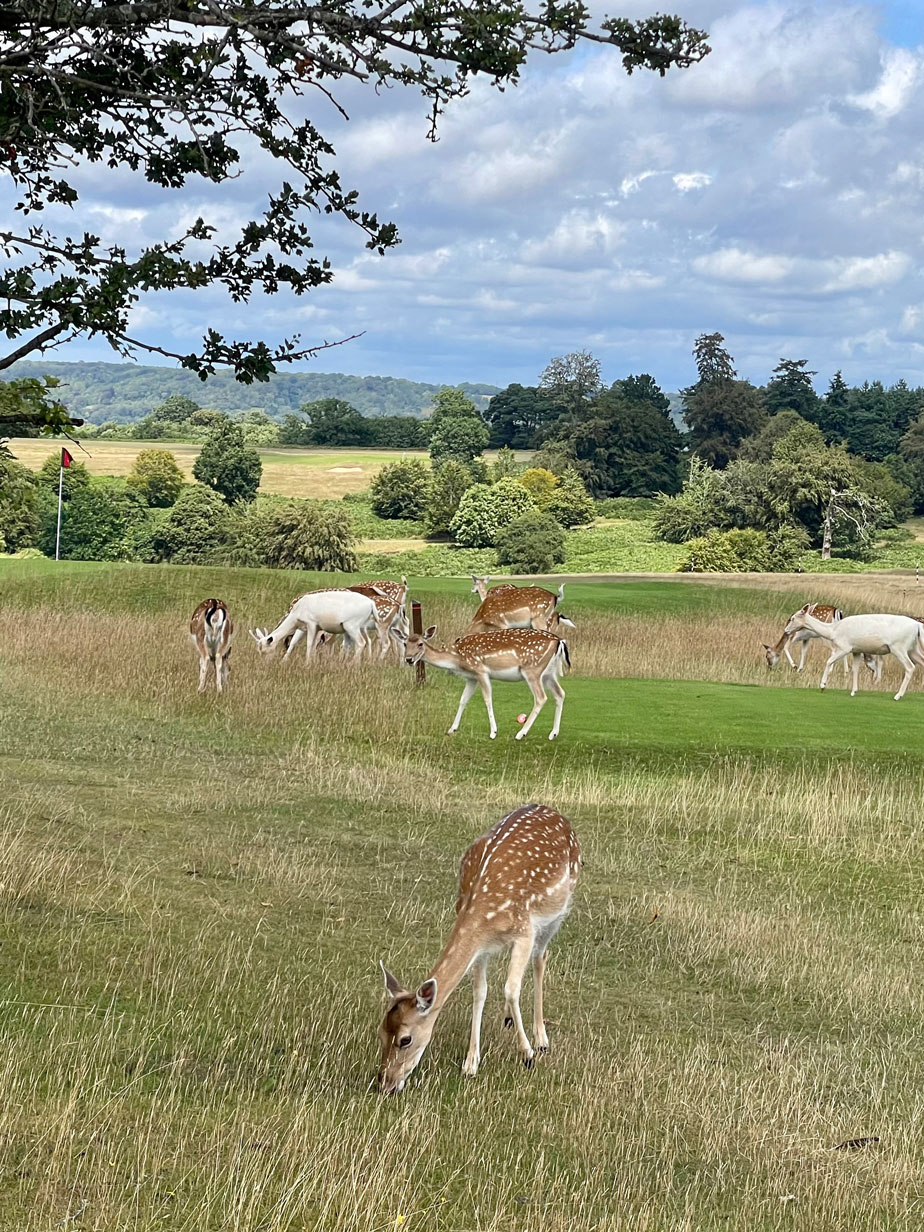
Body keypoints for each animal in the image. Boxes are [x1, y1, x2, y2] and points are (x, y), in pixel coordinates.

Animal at [379, 803, 581, 1094]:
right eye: (381, 1032)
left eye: (405, 1039)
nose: (385, 1084)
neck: (484, 913)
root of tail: (551, 810)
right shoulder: (481, 947)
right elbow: (480, 992)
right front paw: (471, 1063)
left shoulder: (525, 931)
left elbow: (510, 988)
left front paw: (527, 1054)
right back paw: (509, 1019)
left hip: (558, 911)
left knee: (540, 959)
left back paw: (541, 1038)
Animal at [406, 625, 571, 739]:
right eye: (405, 643)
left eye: (420, 643)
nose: (408, 659)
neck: (457, 659)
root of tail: (559, 641)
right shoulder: (471, 677)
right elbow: (463, 699)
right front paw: (452, 729)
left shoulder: (481, 671)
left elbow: (487, 699)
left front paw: (493, 732)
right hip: (548, 673)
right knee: (560, 693)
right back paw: (553, 733)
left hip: (532, 670)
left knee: (541, 697)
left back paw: (521, 733)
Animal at [783, 603, 924, 699]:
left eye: (793, 618)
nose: (786, 630)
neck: (832, 631)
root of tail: (917, 625)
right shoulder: (856, 650)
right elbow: (855, 669)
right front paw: (853, 691)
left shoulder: (844, 647)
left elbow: (828, 661)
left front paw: (823, 686)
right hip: (913, 649)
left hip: (899, 647)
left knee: (910, 667)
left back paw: (898, 695)